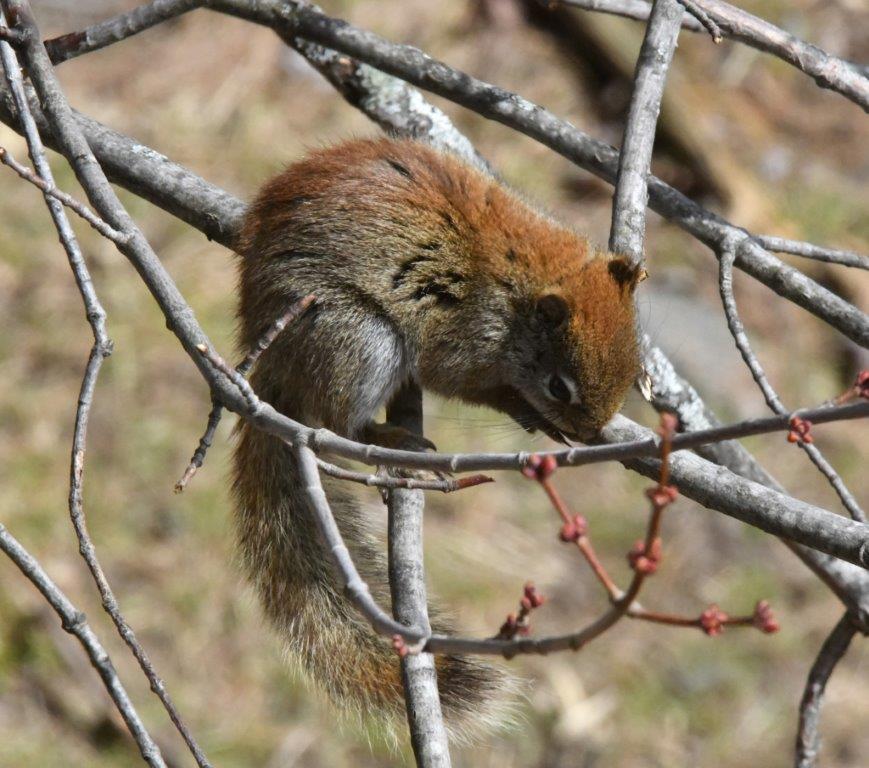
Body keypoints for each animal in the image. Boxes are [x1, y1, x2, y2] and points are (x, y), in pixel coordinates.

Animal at [232, 136, 643, 738]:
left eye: (637, 366)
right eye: (558, 386)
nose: (591, 434)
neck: (523, 283)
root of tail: (268, 356)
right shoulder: (463, 343)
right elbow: (469, 384)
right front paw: (529, 412)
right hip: (359, 338)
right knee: (338, 423)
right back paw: (390, 438)